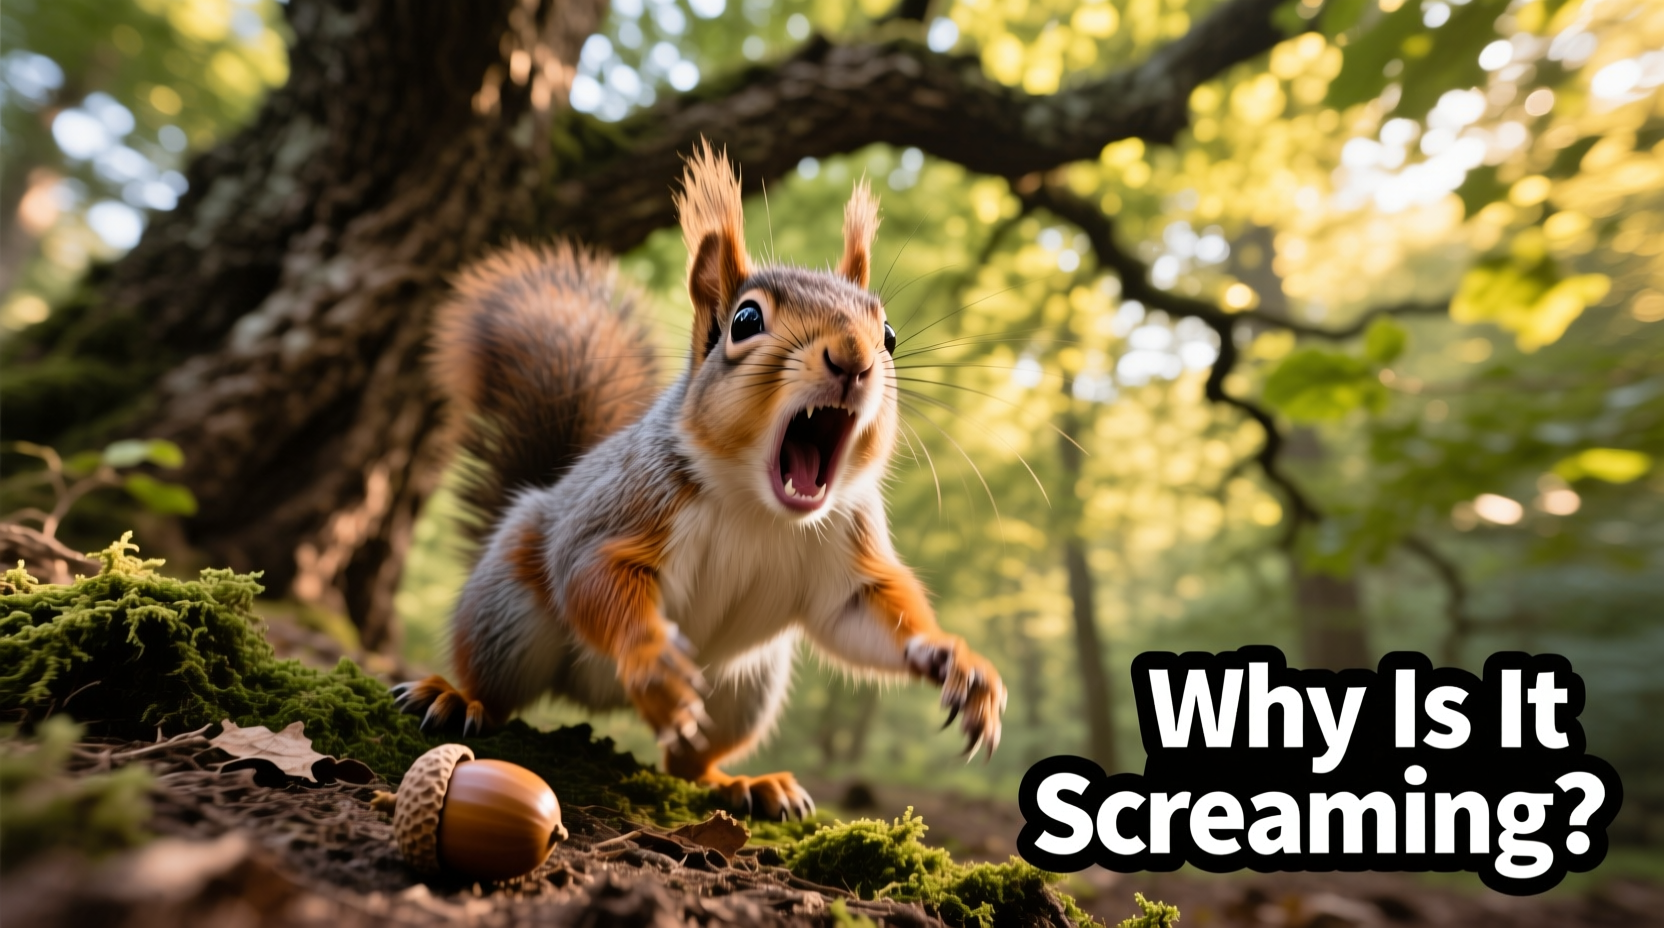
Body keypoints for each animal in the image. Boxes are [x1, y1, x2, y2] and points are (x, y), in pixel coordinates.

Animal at [394, 142, 1007, 819]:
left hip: (745, 685)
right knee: (501, 687)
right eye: (745, 319)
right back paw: (459, 697)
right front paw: (651, 658)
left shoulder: (847, 542)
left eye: (891, 334)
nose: (854, 358)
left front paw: (955, 662)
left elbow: (863, 617)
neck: (758, 506)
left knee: (687, 761)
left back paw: (743, 784)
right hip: (505, 613)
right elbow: (595, 573)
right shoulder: (629, 507)